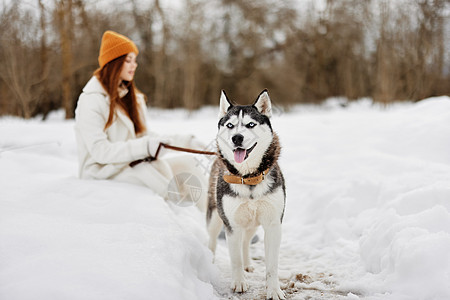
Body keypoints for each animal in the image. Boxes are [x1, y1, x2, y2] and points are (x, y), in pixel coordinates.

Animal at [207, 89, 284, 300]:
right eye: (230, 125)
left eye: (250, 124)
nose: (237, 138)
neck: (249, 178)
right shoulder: (232, 224)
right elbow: (235, 260)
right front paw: (239, 282)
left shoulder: (273, 224)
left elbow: (272, 265)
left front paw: (274, 290)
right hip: (216, 217)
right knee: (212, 239)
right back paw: (210, 258)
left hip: (252, 223)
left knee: (246, 241)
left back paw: (248, 263)